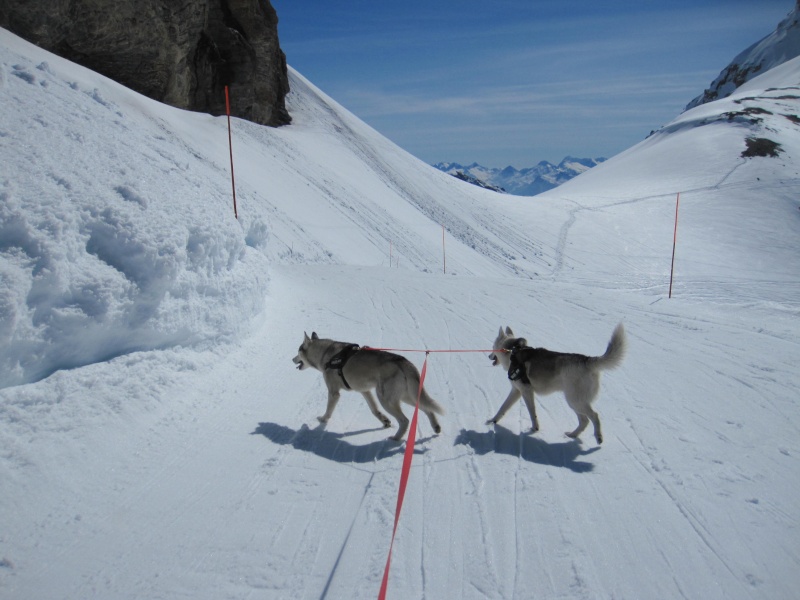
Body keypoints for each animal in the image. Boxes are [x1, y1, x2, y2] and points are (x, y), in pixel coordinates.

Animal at [292, 332, 446, 440]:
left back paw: (396, 438)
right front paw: (384, 421)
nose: (292, 359)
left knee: (405, 420)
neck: (326, 354)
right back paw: (436, 427)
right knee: (428, 409)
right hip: (406, 396)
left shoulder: (334, 392)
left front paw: (323, 420)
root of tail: (402, 361)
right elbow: (374, 410)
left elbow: (329, 411)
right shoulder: (365, 391)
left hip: (386, 399)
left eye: (298, 351)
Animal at [488, 324, 624, 446]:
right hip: (574, 402)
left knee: (594, 416)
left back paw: (598, 437)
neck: (512, 352)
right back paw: (572, 435)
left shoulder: (526, 391)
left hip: (575, 401)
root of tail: (587, 360)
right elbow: (503, 408)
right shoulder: (516, 391)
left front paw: (534, 428)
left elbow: (532, 413)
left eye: (492, 347)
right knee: (584, 421)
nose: (489, 356)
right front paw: (493, 420)